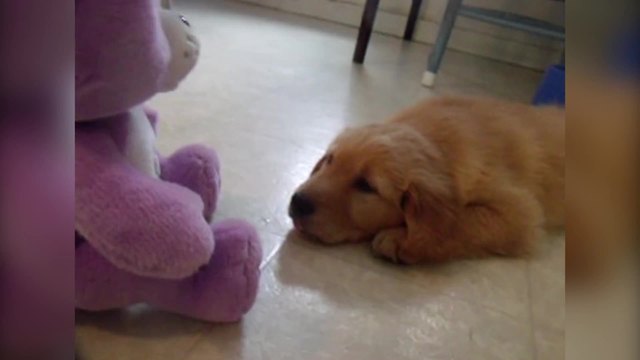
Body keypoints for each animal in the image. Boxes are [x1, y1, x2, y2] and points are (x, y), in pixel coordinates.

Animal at [288, 97, 564, 262]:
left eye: (366, 186)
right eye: (330, 160)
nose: (297, 202)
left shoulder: (521, 212)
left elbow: (463, 220)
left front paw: (401, 239)